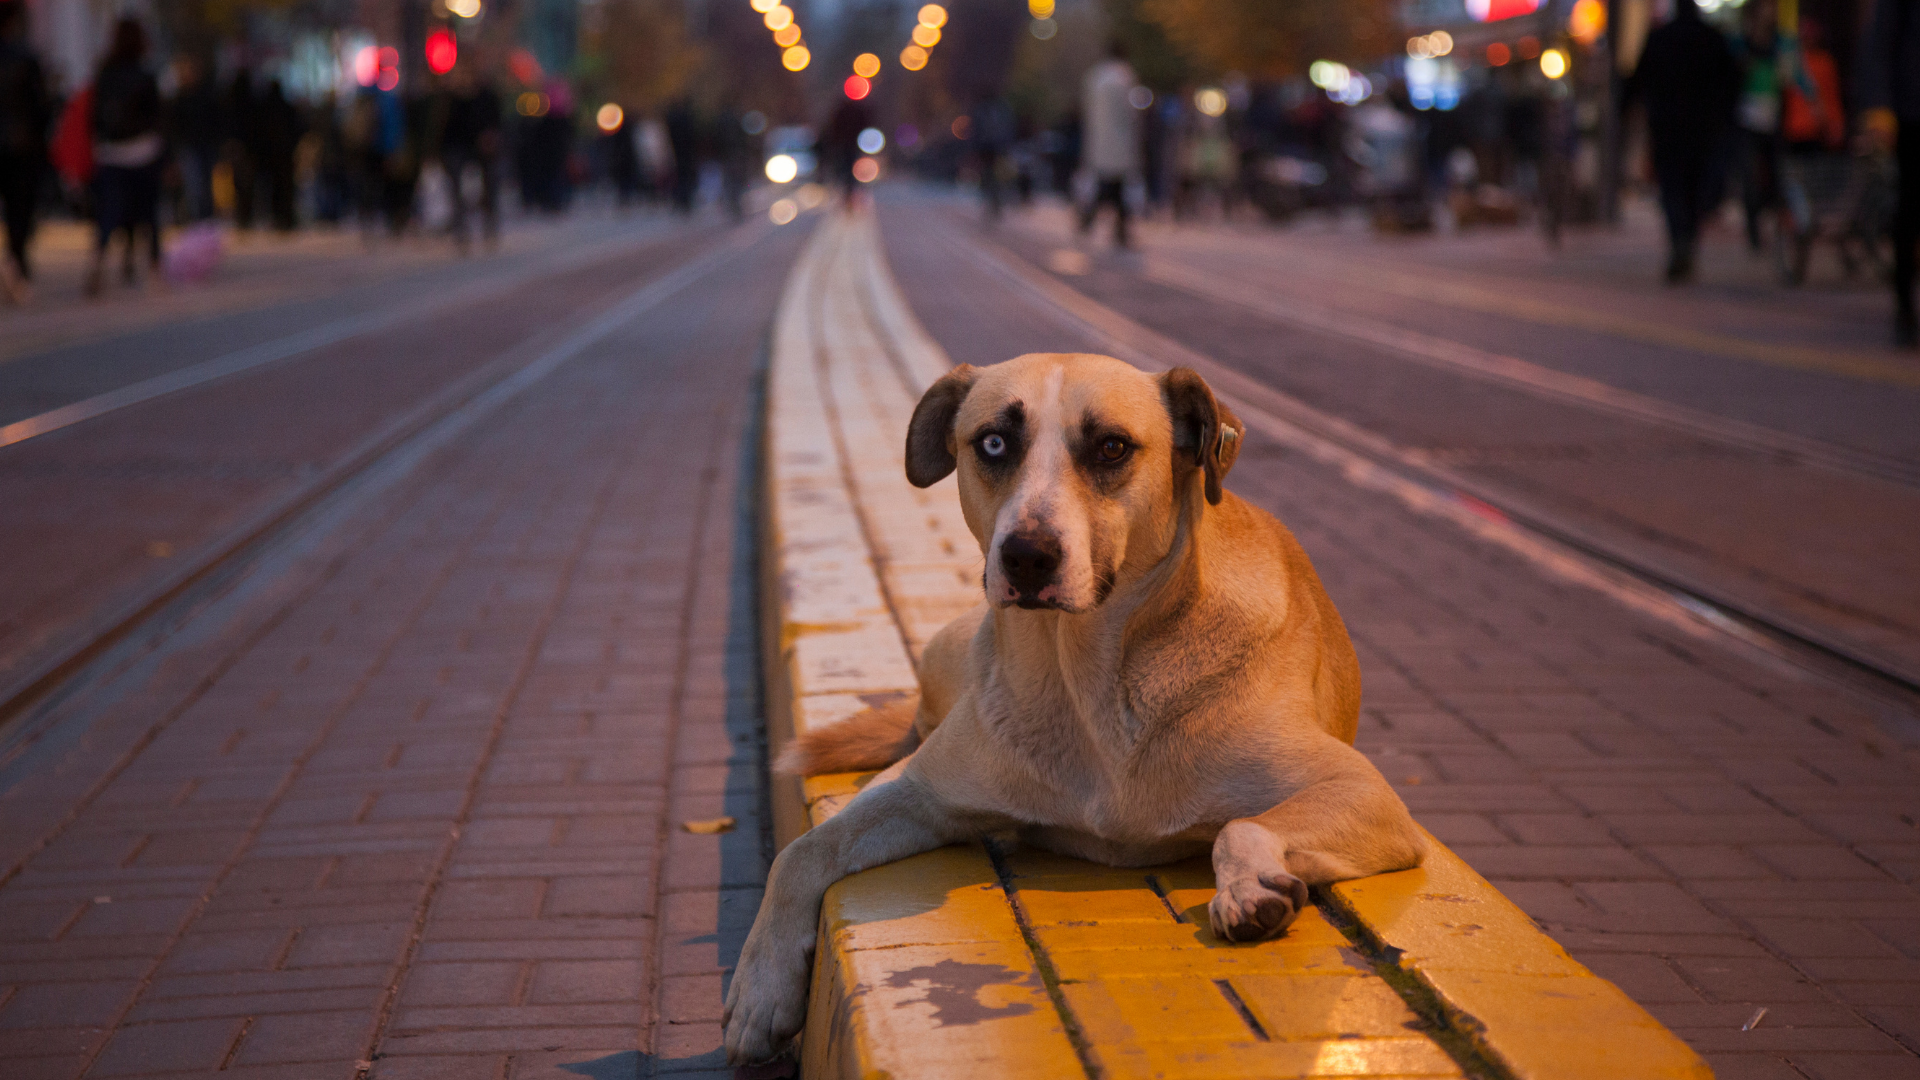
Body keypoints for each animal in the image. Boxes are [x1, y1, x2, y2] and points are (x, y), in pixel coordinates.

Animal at [721, 351, 1428, 1060]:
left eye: (1112, 447)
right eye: (993, 443)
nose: (1027, 555)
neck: (1087, 680)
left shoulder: (1365, 793)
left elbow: (1242, 826)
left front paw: (1248, 887)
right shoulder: (921, 792)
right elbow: (802, 851)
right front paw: (760, 990)